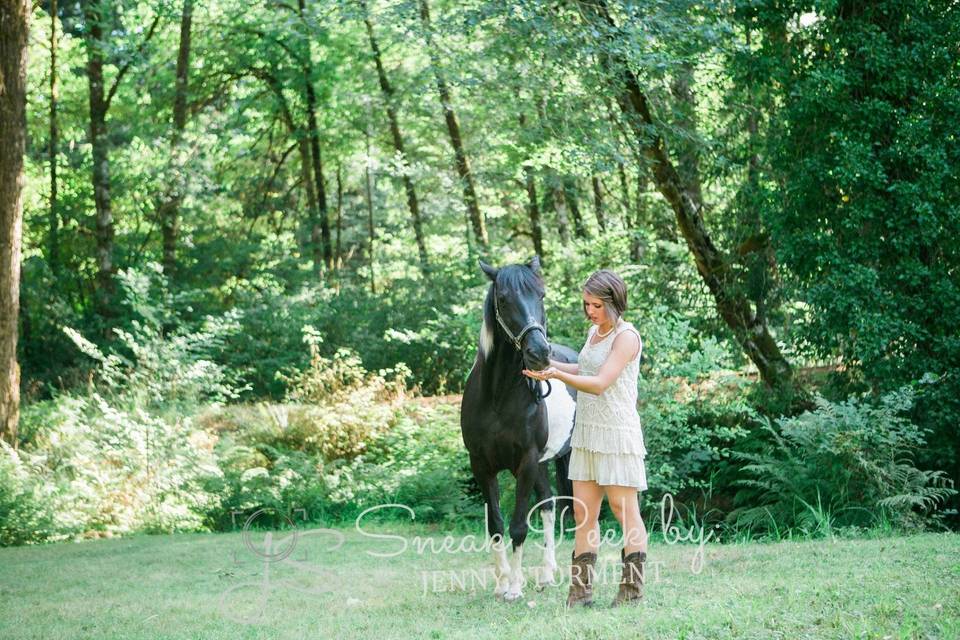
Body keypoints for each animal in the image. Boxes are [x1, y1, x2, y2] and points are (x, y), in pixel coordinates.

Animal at [460, 255, 576, 600]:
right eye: (503, 299)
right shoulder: (482, 465)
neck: (498, 397)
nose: (539, 353)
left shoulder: (525, 461)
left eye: (541, 295)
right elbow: (496, 525)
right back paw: (546, 574)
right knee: (549, 504)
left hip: (567, 458)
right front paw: (501, 584)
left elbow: (519, 526)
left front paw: (514, 588)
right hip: (542, 463)